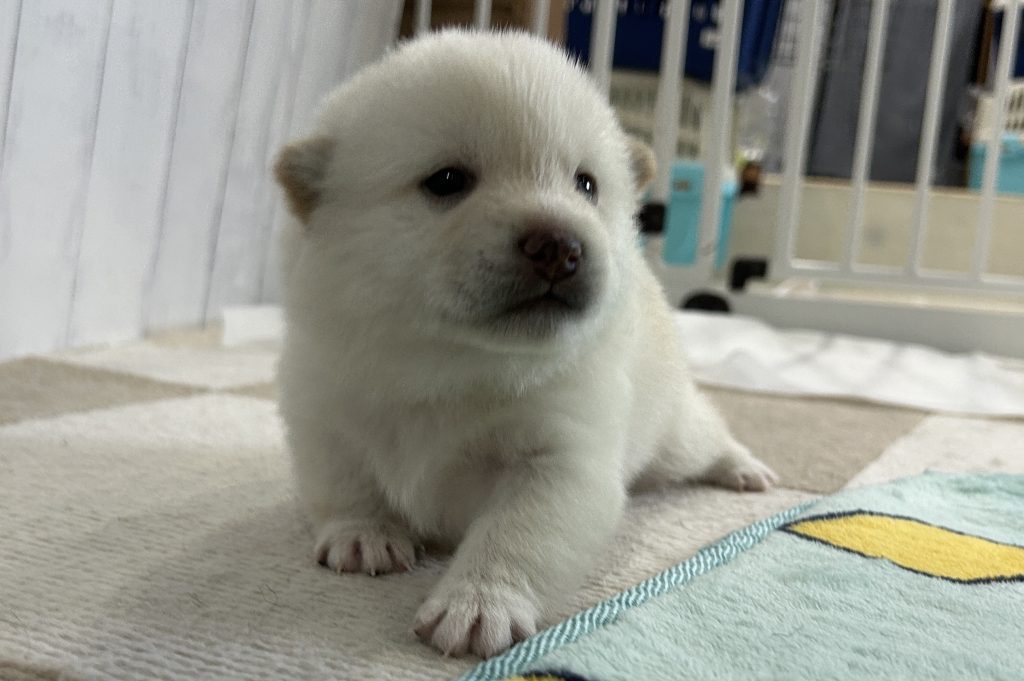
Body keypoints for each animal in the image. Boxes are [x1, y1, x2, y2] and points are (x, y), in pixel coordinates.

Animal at [273, 30, 777, 659]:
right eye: (446, 181)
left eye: (586, 184)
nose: (560, 245)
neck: (449, 363)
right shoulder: (322, 411)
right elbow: (342, 483)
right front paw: (363, 535)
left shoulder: (560, 461)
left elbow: (514, 534)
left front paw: (477, 604)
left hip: (674, 434)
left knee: (710, 434)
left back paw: (745, 469)